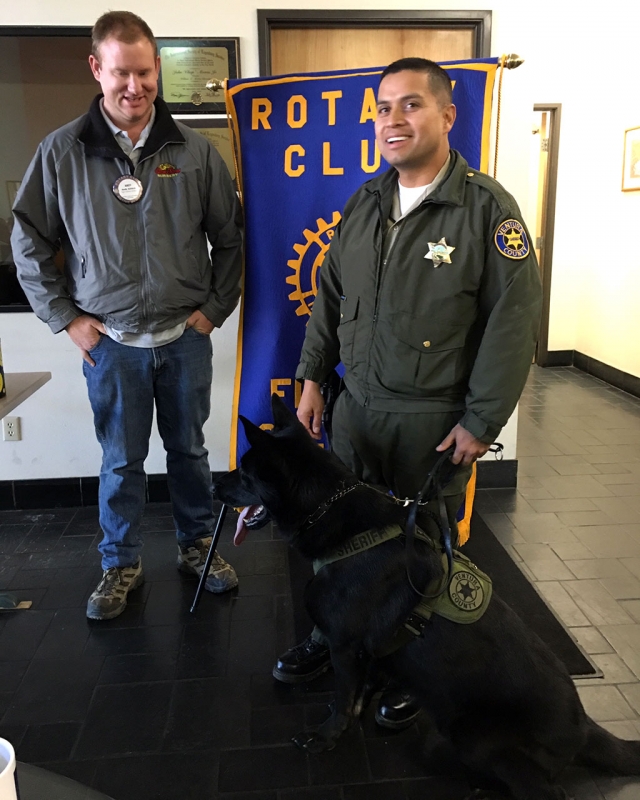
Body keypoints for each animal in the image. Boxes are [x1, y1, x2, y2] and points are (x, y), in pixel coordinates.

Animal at [215, 396, 640, 800]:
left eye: (245, 473)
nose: (214, 487)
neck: (334, 513)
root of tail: (584, 729)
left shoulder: (344, 647)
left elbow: (343, 695)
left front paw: (326, 736)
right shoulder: (366, 653)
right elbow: (357, 692)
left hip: (474, 736)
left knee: (546, 791)